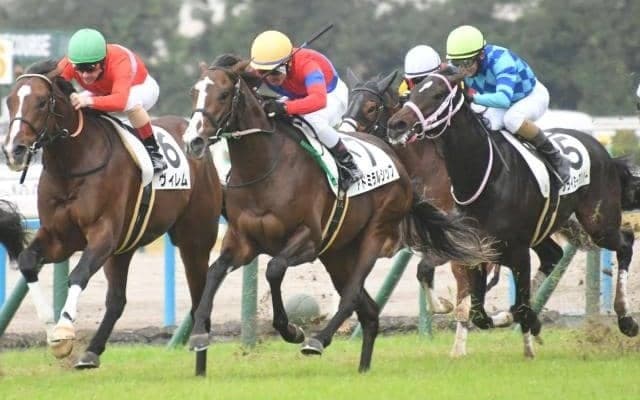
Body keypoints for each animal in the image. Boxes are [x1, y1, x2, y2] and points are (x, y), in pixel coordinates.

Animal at [1, 60, 223, 369]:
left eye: (42, 102)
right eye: (10, 101)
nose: (14, 150)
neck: (72, 164)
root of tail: (196, 142)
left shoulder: (103, 233)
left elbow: (78, 274)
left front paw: (64, 330)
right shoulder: (59, 237)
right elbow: (27, 262)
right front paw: (51, 331)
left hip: (195, 238)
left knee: (198, 296)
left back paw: (200, 350)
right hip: (124, 247)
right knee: (117, 300)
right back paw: (92, 352)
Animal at [181, 55, 495, 373]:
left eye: (223, 94)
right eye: (194, 92)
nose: (194, 140)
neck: (265, 167)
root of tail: (398, 165)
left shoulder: (308, 240)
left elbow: (274, 269)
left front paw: (292, 330)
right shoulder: (242, 242)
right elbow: (214, 271)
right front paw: (199, 334)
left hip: (373, 235)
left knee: (352, 295)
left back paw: (318, 340)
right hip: (337, 253)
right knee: (369, 310)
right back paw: (363, 367)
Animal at [387, 67, 640, 357]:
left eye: (438, 94)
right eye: (412, 93)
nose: (397, 125)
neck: (484, 177)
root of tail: (602, 150)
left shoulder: (516, 252)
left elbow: (512, 305)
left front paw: (524, 324)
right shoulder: (476, 250)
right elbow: (479, 313)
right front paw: (515, 321)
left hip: (598, 222)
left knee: (625, 243)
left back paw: (627, 320)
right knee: (553, 255)